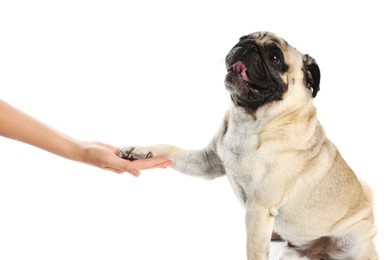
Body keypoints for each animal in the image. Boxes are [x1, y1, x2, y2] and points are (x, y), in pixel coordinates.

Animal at [119, 31, 378, 258]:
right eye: (242, 38)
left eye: (275, 57)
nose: (248, 46)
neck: (250, 122)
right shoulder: (207, 163)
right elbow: (171, 150)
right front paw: (141, 151)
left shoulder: (259, 209)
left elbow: (253, 250)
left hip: (354, 240)